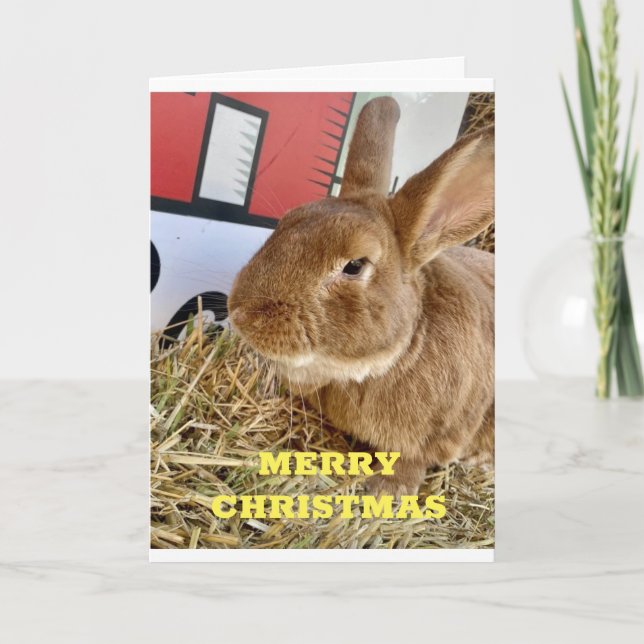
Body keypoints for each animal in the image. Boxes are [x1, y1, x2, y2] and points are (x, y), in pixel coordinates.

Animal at [228, 96, 494, 496]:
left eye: (354, 265)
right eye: (286, 221)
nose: (241, 314)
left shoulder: (437, 434)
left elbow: (412, 462)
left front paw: (386, 491)